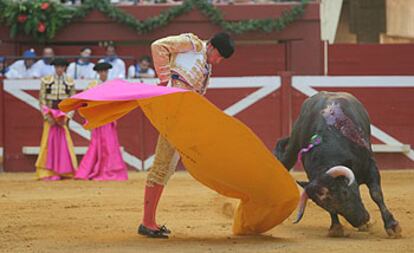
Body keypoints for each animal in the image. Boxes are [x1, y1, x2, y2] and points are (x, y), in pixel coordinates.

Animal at [274, 91, 402, 237]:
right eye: (322, 205)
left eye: (345, 192)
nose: (361, 220)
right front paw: (336, 228)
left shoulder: (371, 166)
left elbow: (376, 194)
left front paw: (392, 226)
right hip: (293, 147)